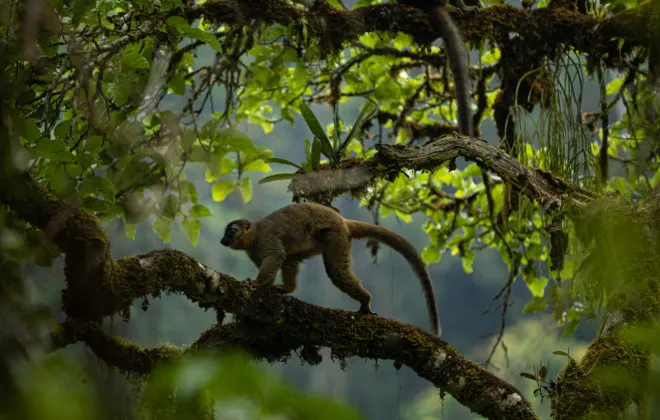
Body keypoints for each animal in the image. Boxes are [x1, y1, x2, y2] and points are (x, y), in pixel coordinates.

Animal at [220, 202, 441, 336]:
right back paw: (289, 288)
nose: (222, 240)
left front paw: (256, 284)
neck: (253, 237)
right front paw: (267, 287)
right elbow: (282, 260)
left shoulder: (266, 239)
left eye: (231, 232)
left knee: (336, 271)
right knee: (293, 259)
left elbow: (276, 256)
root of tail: (341, 220)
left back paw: (365, 300)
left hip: (336, 236)